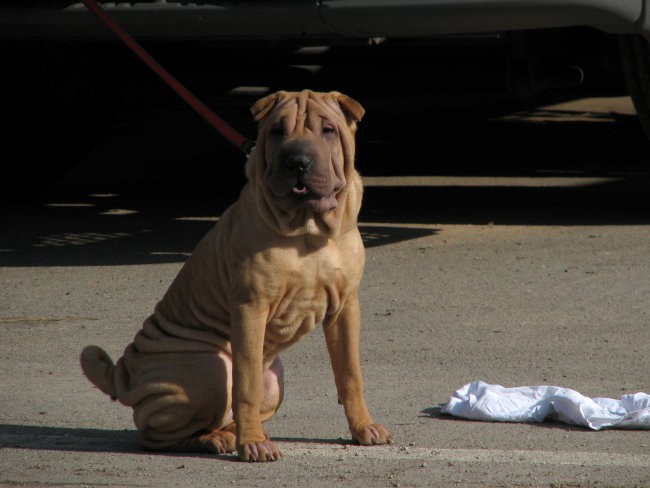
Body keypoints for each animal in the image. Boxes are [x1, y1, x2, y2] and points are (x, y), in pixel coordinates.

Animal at [82, 88, 394, 462]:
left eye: (328, 131)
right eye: (278, 131)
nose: (297, 162)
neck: (308, 229)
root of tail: (124, 373)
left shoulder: (345, 308)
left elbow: (350, 374)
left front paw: (363, 428)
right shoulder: (250, 308)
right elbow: (245, 384)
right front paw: (253, 444)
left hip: (275, 379)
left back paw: (232, 434)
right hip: (209, 370)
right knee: (157, 435)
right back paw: (217, 439)